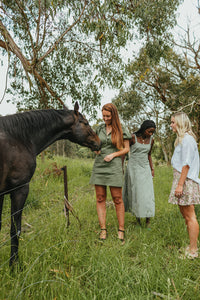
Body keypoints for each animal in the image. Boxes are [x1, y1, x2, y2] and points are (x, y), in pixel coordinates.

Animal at [0, 102, 101, 266]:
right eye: (85, 123)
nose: (99, 142)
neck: (19, 138)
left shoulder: (2, 193)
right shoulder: (19, 190)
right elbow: (15, 230)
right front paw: (14, 266)